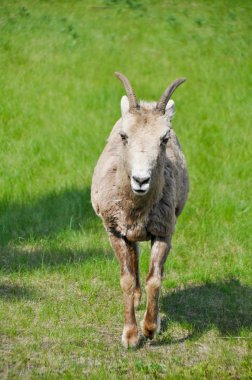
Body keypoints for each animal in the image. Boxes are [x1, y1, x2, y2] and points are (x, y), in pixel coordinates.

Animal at [91, 71, 188, 348]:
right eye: (124, 136)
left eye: (164, 138)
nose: (141, 180)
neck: (136, 210)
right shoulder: (115, 232)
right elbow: (125, 278)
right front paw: (130, 337)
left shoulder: (163, 233)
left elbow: (154, 279)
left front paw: (150, 330)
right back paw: (135, 299)